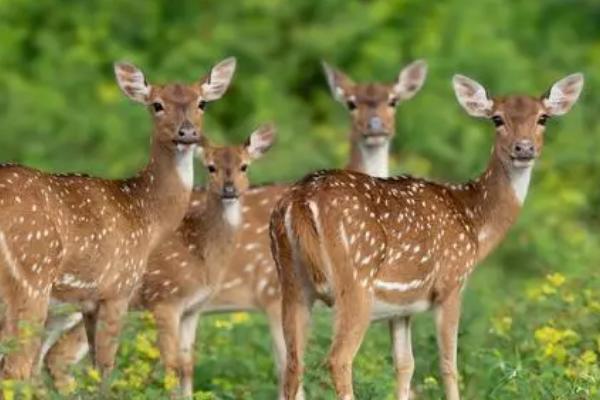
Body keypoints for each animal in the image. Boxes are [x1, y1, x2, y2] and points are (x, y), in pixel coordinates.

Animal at [0, 57, 237, 384]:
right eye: (157, 104)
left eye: (202, 103)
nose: (187, 133)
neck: (145, 216)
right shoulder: (118, 288)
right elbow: (105, 367)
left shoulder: (88, 303)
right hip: (32, 276)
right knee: (17, 368)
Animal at [37, 59, 428, 396]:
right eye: (350, 103)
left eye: (393, 100)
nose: (375, 128)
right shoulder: (271, 294)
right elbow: (286, 367)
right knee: (58, 355)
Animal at [270, 72, 584, 400]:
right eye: (497, 118)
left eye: (543, 117)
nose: (524, 148)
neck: (473, 221)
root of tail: (301, 202)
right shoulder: (451, 283)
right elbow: (448, 364)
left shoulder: (401, 308)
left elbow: (405, 364)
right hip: (354, 280)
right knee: (338, 358)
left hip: (291, 282)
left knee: (292, 364)